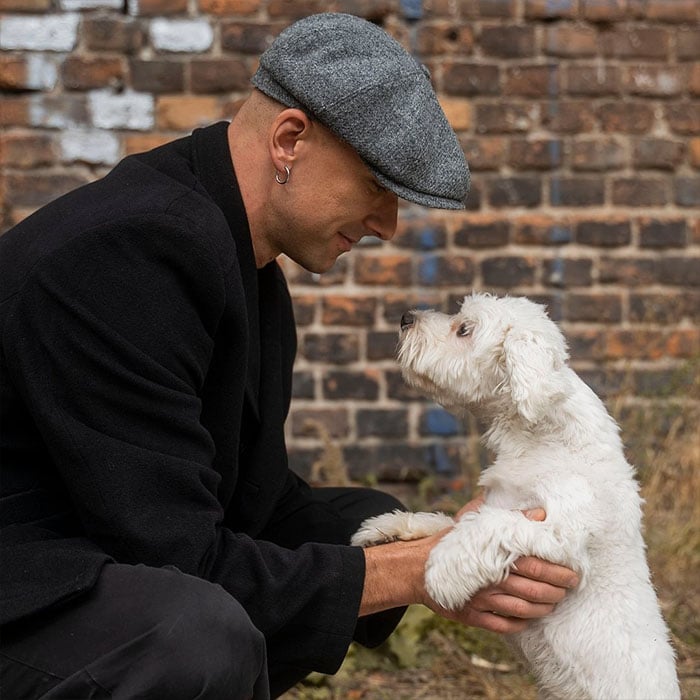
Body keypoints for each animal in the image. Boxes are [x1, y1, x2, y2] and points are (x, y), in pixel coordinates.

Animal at [352, 292, 680, 696]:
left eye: (464, 329)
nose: (405, 318)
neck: (545, 436)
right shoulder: (495, 501)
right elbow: (450, 522)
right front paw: (388, 528)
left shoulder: (559, 534)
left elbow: (490, 527)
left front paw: (441, 571)